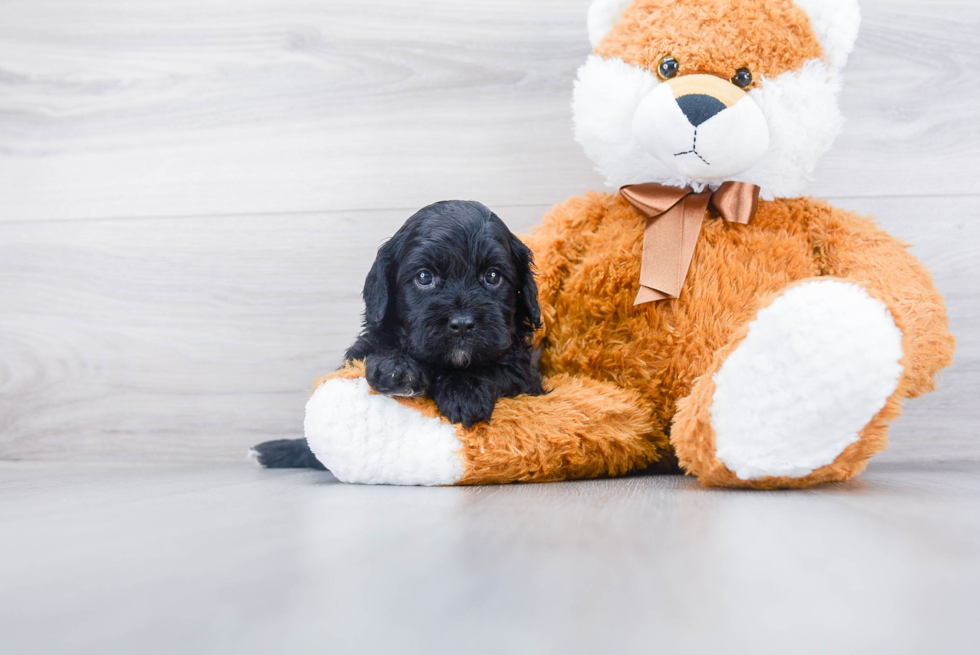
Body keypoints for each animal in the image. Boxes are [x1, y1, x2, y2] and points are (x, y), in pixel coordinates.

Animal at [253, 201, 544, 472]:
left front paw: (465, 390)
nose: (462, 324)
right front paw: (397, 368)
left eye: (493, 276)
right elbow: (376, 351)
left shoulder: (526, 375)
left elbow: (502, 368)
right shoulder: (358, 353)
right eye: (424, 277)